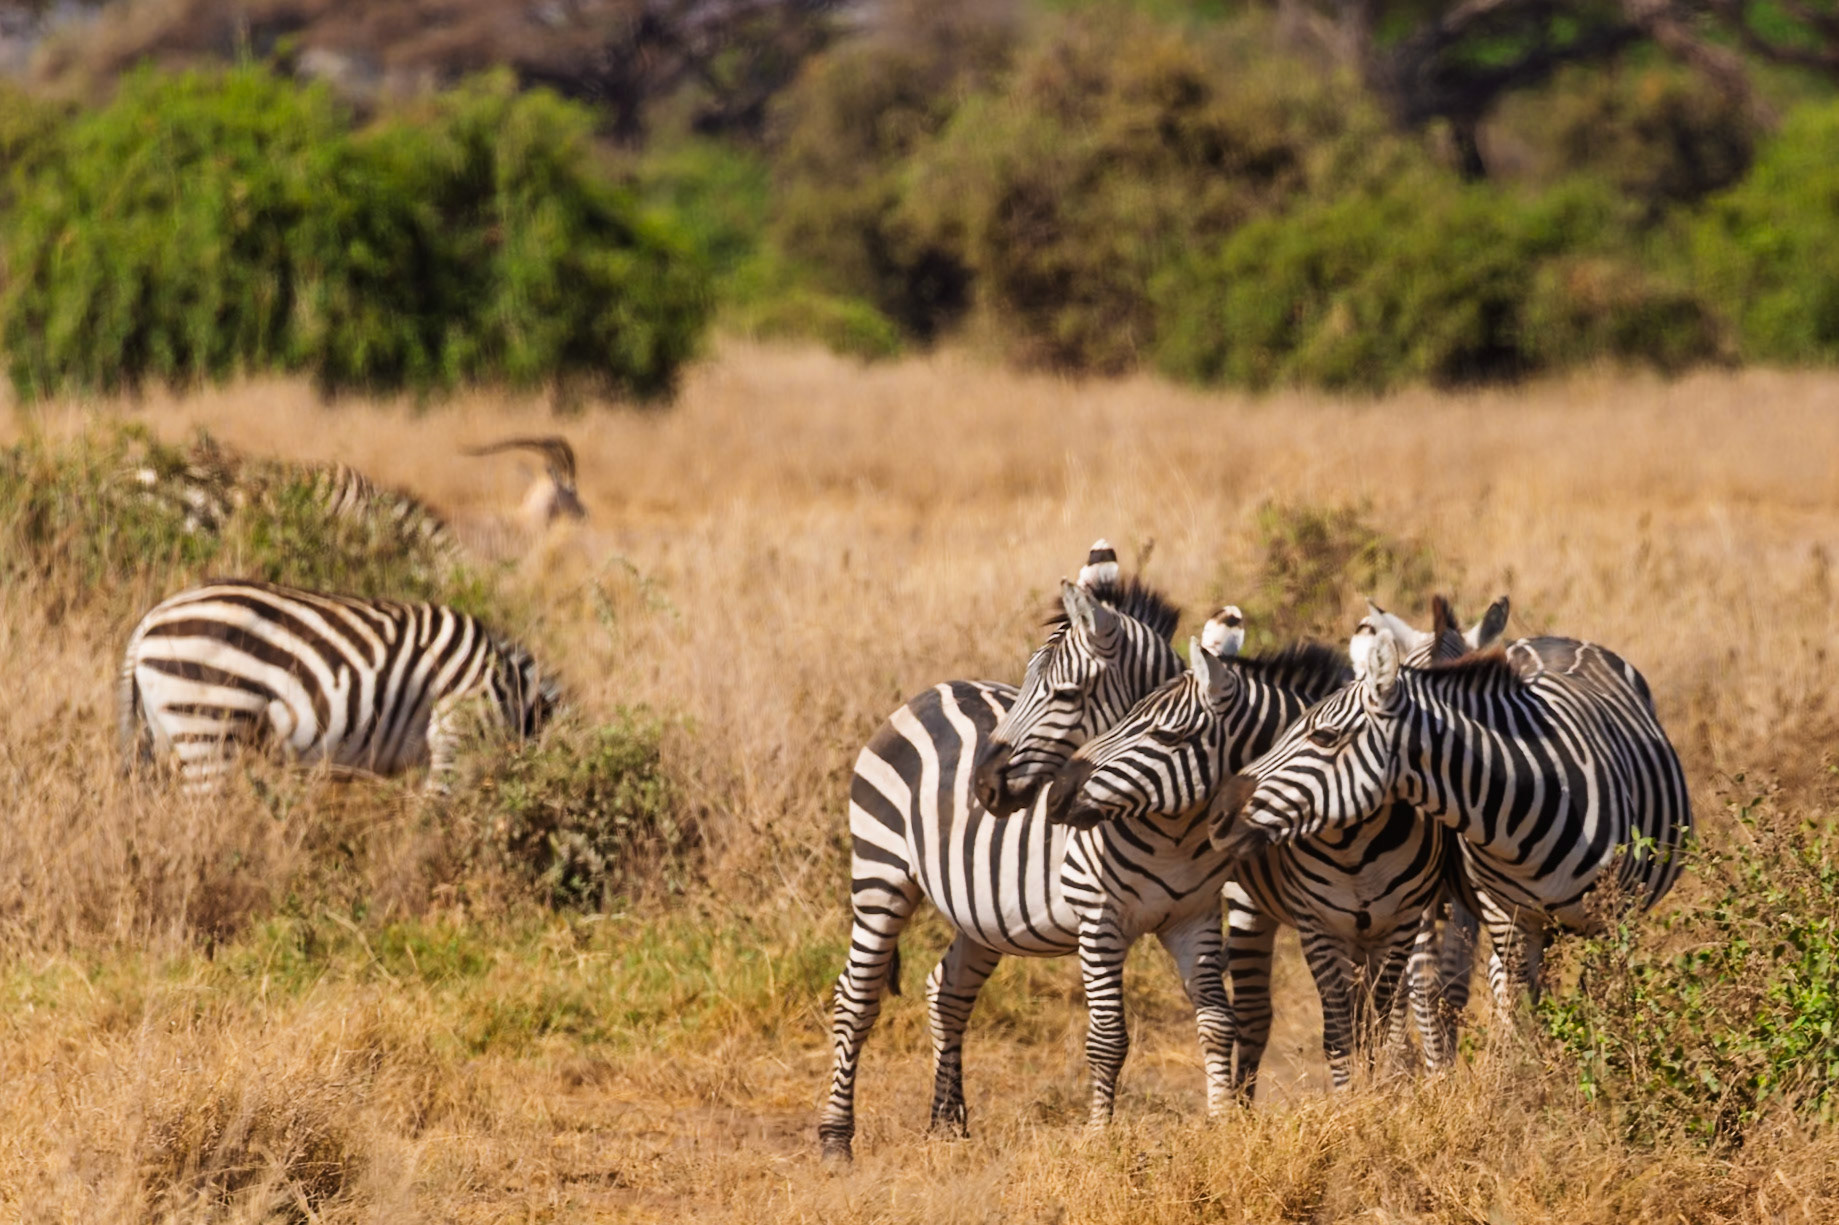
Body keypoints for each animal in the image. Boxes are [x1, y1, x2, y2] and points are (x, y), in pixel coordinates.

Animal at [119, 579, 557, 794]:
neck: (512, 696)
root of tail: (151, 619)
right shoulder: (455, 740)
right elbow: (435, 823)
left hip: (164, 735)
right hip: (208, 724)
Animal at [822, 542, 1219, 1162]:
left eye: (1065, 695)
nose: (983, 787)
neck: (1165, 827)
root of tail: (934, 689)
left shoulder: (1193, 916)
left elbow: (1218, 1021)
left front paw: (1229, 1122)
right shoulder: (1099, 919)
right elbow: (1109, 1037)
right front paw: (1099, 1143)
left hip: (985, 911)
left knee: (948, 989)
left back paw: (947, 1123)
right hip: (880, 872)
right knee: (855, 999)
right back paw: (836, 1139)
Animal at [1210, 620, 1691, 1015]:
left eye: (1325, 736)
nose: (1219, 814)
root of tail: (1556, 638)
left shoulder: (1614, 917)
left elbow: (1608, 1009)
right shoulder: (1507, 917)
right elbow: (1525, 1014)